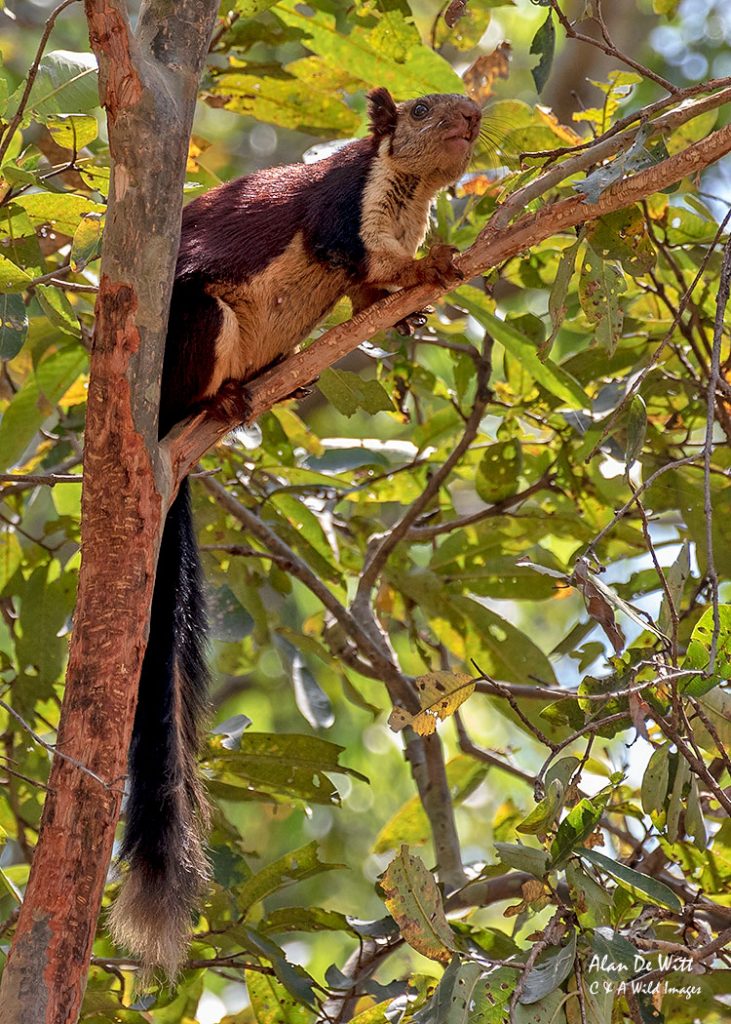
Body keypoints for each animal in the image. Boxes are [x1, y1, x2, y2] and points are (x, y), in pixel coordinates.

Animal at [108, 87, 481, 978]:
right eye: (423, 108)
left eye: (468, 104)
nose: (471, 116)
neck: (409, 194)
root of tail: (167, 439)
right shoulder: (342, 205)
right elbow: (360, 257)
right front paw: (428, 269)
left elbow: (364, 295)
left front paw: (406, 311)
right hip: (196, 322)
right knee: (200, 352)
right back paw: (221, 400)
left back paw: (275, 387)